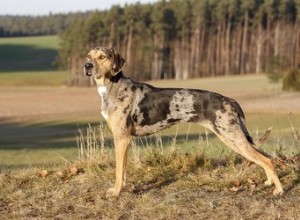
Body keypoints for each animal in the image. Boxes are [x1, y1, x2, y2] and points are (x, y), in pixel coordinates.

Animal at [84, 46, 284, 196]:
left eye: (102, 57)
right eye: (89, 56)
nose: (87, 66)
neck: (112, 86)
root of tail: (229, 100)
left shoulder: (122, 138)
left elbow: (119, 171)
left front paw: (116, 192)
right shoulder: (123, 140)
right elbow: (123, 171)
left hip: (233, 137)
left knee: (267, 160)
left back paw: (279, 190)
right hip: (235, 137)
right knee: (265, 157)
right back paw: (269, 182)